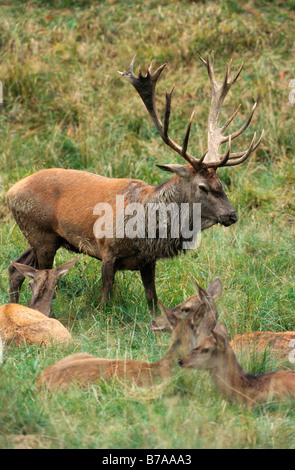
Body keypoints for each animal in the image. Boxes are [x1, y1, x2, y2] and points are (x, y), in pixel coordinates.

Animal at [6, 52, 264, 312]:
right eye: (203, 187)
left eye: (221, 184)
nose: (232, 215)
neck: (146, 231)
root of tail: (10, 192)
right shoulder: (107, 249)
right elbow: (105, 300)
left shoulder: (148, 260)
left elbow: (152, 299)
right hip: (41, 233)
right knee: (36, 274)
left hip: (46, 237)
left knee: (15, 268)